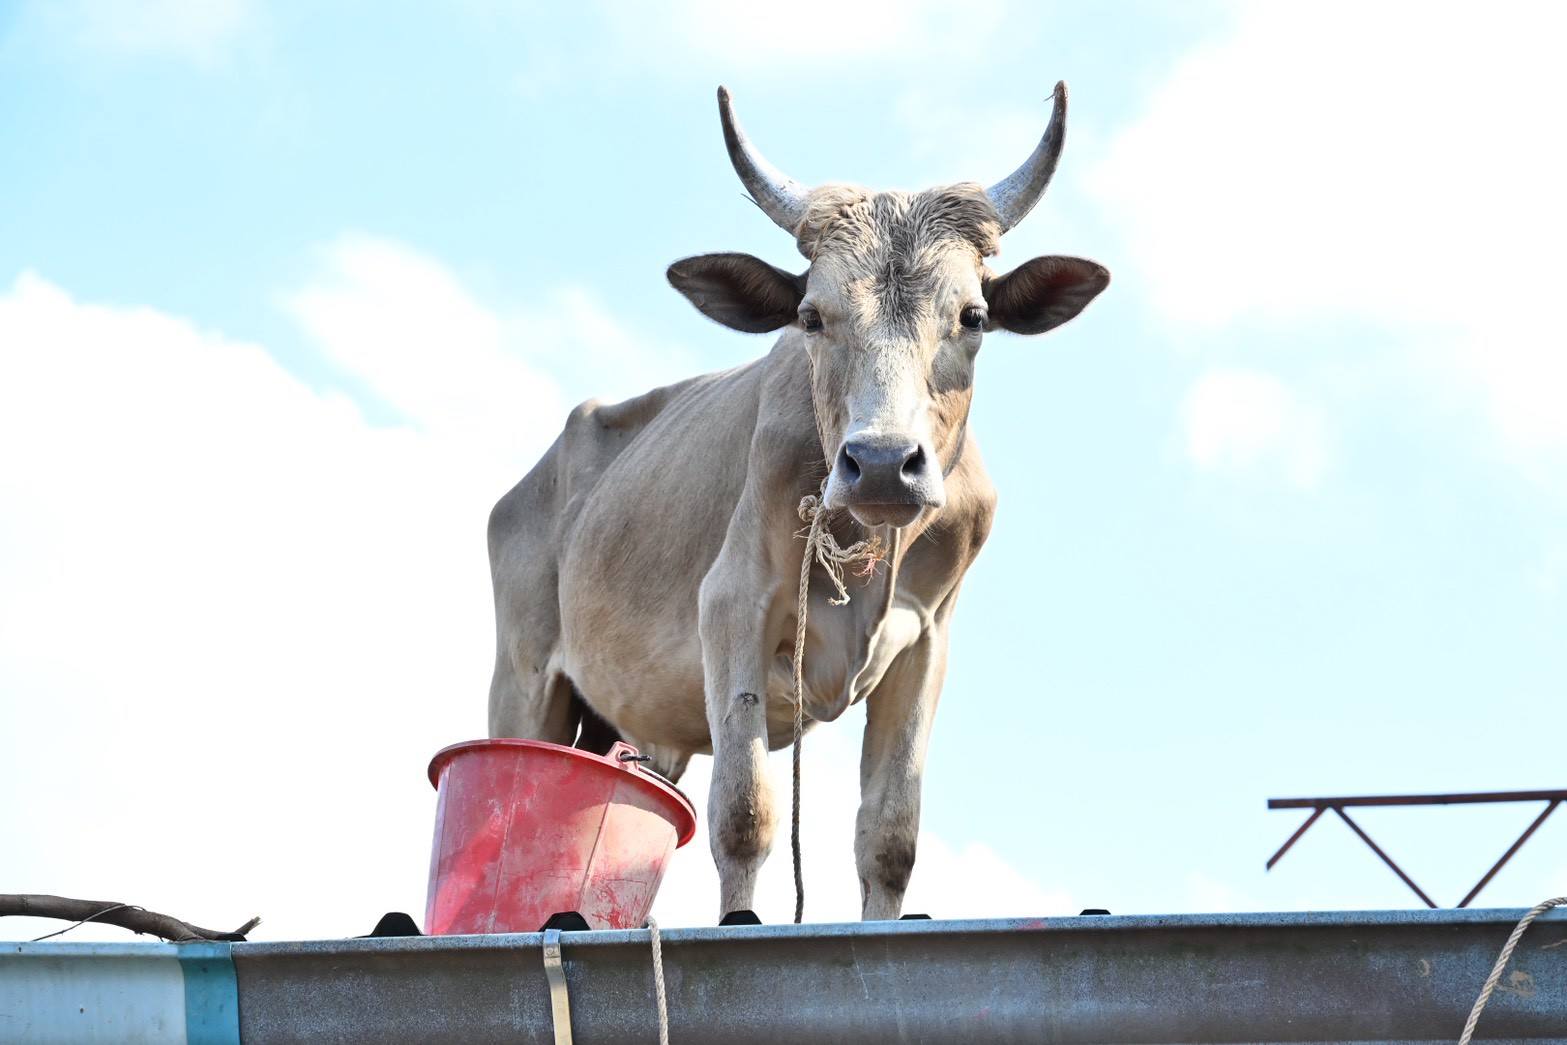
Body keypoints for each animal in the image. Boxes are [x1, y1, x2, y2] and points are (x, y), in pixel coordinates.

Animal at [487, 83, 1108, 921]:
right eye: (811, 315)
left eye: (973, 316)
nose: (881, 465)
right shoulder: (730, 606)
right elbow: (744, 811)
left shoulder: (926, 642)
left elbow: (889, 835)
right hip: (523, 680)